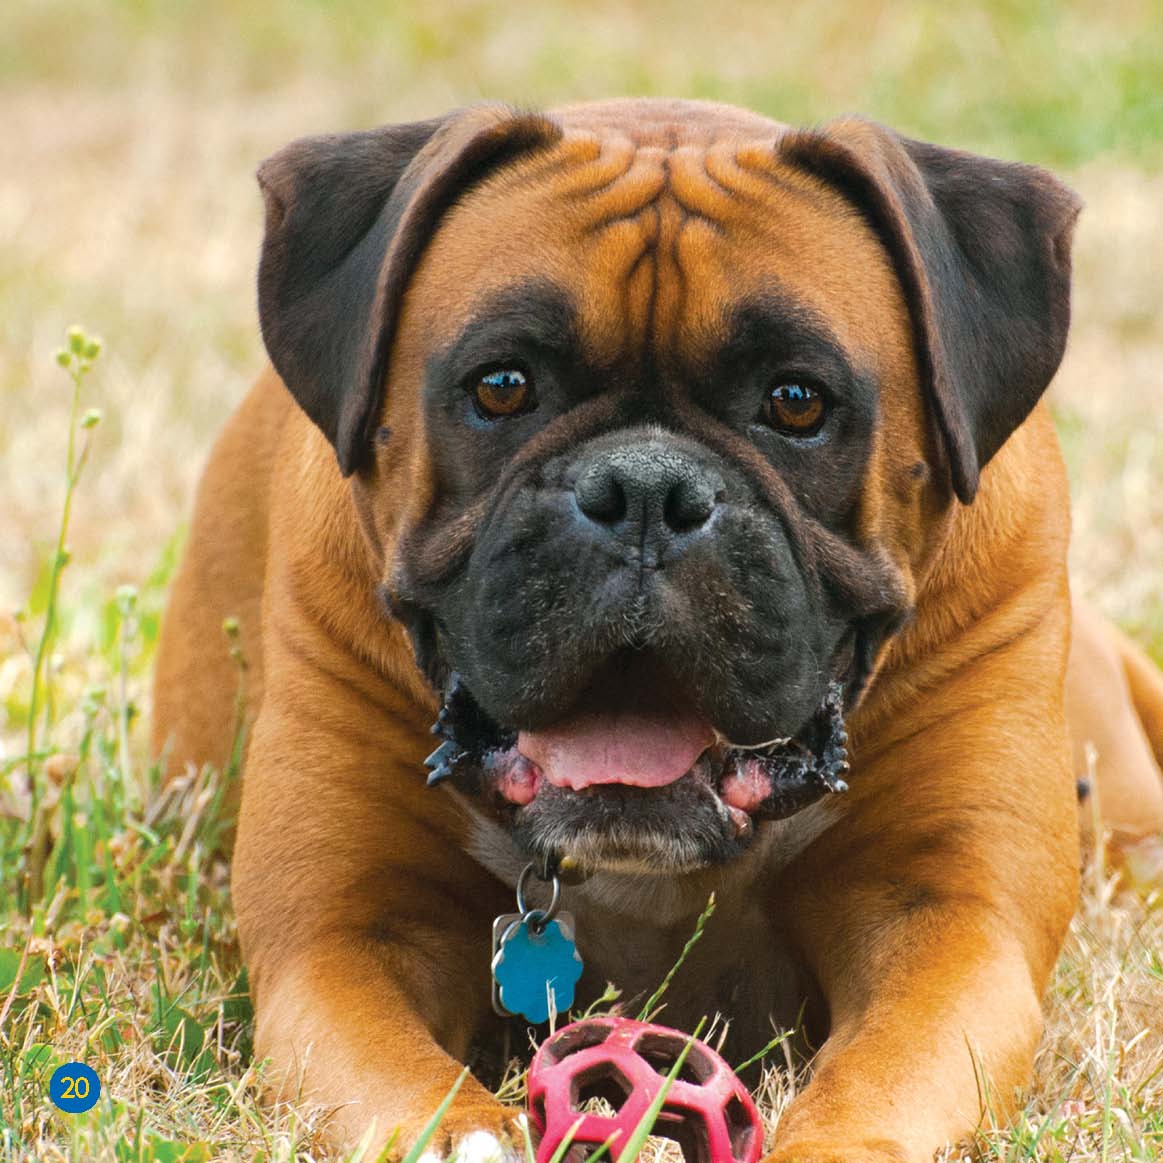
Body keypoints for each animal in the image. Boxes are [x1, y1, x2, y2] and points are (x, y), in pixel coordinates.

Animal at [152, 102, 1163, 1163]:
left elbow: (877, 1082)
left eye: (796, 400)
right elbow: (416, 1096)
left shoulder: (949, 921)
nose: (644, 489)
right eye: (502, 385)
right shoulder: (339, 940)